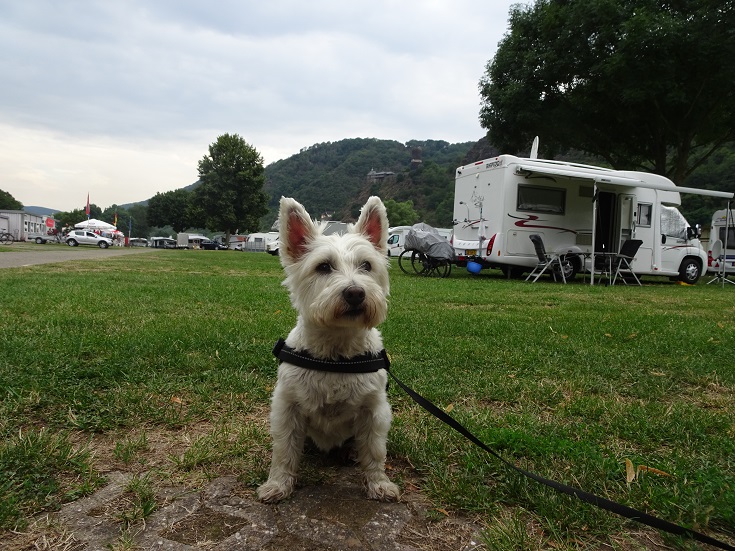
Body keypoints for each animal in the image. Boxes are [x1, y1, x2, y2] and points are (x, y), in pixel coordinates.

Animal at [256, 195, 400, 504]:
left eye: (367, 265)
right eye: (323, 267)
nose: (355, 293)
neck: (337, 352)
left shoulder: (374, 411)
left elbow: (374, 451)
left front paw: (379, 484)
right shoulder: (287, 407)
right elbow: (284, 451)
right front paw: (278, 485)